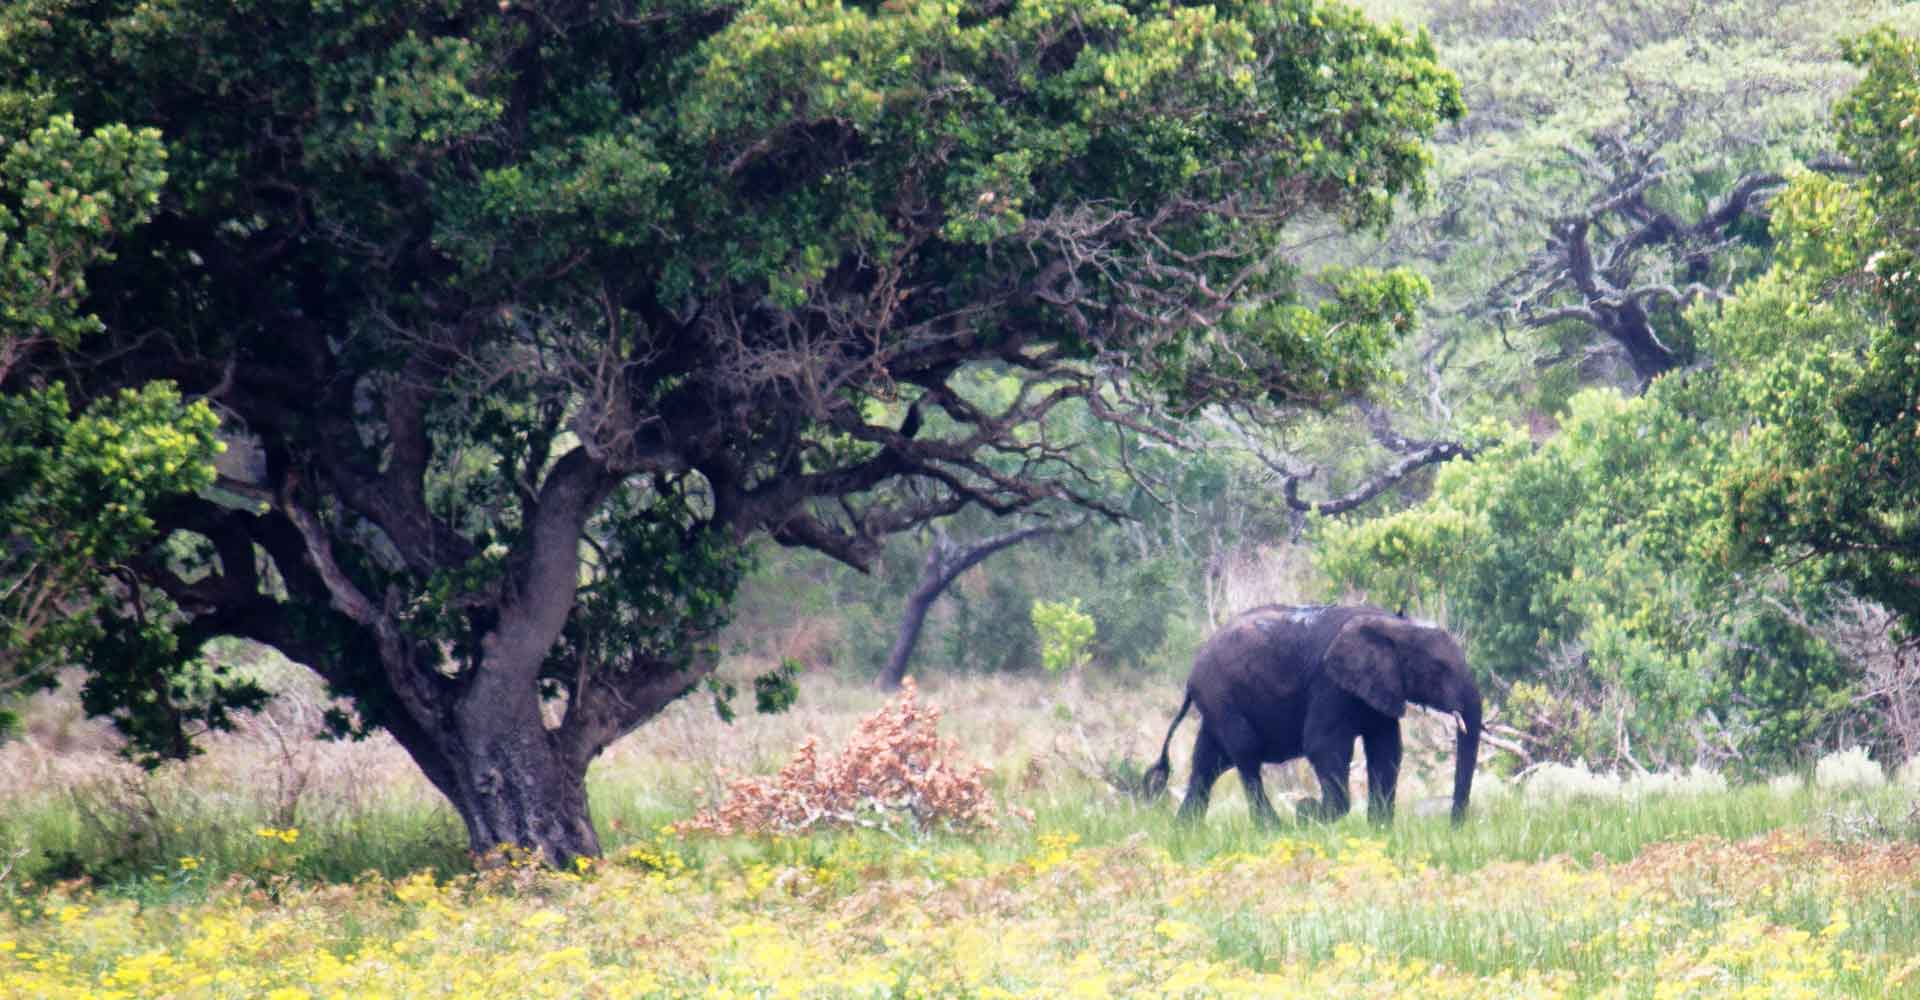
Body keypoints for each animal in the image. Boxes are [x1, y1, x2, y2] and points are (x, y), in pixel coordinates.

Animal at [1136, 602, 1482, 821]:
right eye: (1439, 669)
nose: (1453, 825)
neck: (1392, 624)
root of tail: (1191, 674)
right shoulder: (1329, 684)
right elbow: (1324, 745)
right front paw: (1308, 813)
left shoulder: (1379, 687)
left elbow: (1387, 751)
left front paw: (1379, 830)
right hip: (1221, 696)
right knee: (1244, 756)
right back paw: (1271, 829)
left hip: (1215, 704)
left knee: (1208, 763)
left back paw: (1185, 832)